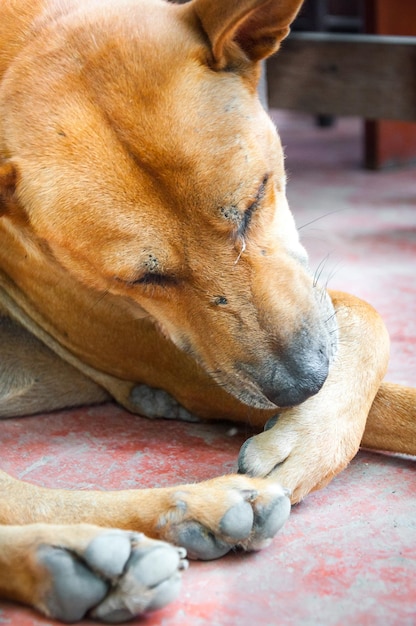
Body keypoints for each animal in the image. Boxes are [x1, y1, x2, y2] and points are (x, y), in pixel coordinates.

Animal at [0, 0, 416, 620]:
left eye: (254, 198)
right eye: (144, 278)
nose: (303, 385)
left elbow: (362, 320)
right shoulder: (179, 364)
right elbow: (371, 326)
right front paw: (304, 441)